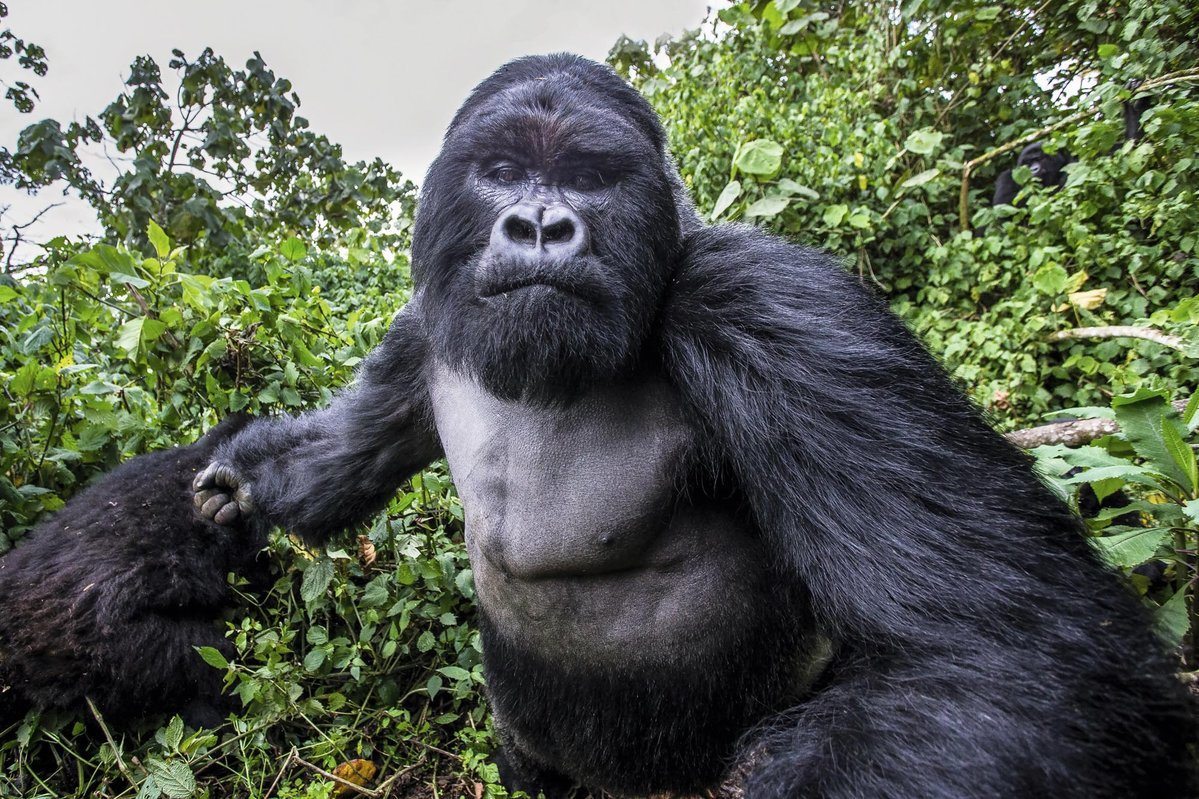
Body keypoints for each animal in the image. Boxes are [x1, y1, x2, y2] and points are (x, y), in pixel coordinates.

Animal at [191, 56, 1194, 796]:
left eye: (590, 177)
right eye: (504, 171)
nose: (539, 225)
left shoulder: (768, 302)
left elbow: (1004, 651)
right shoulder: (419, 330)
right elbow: (346, 452)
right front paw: (241, 485)